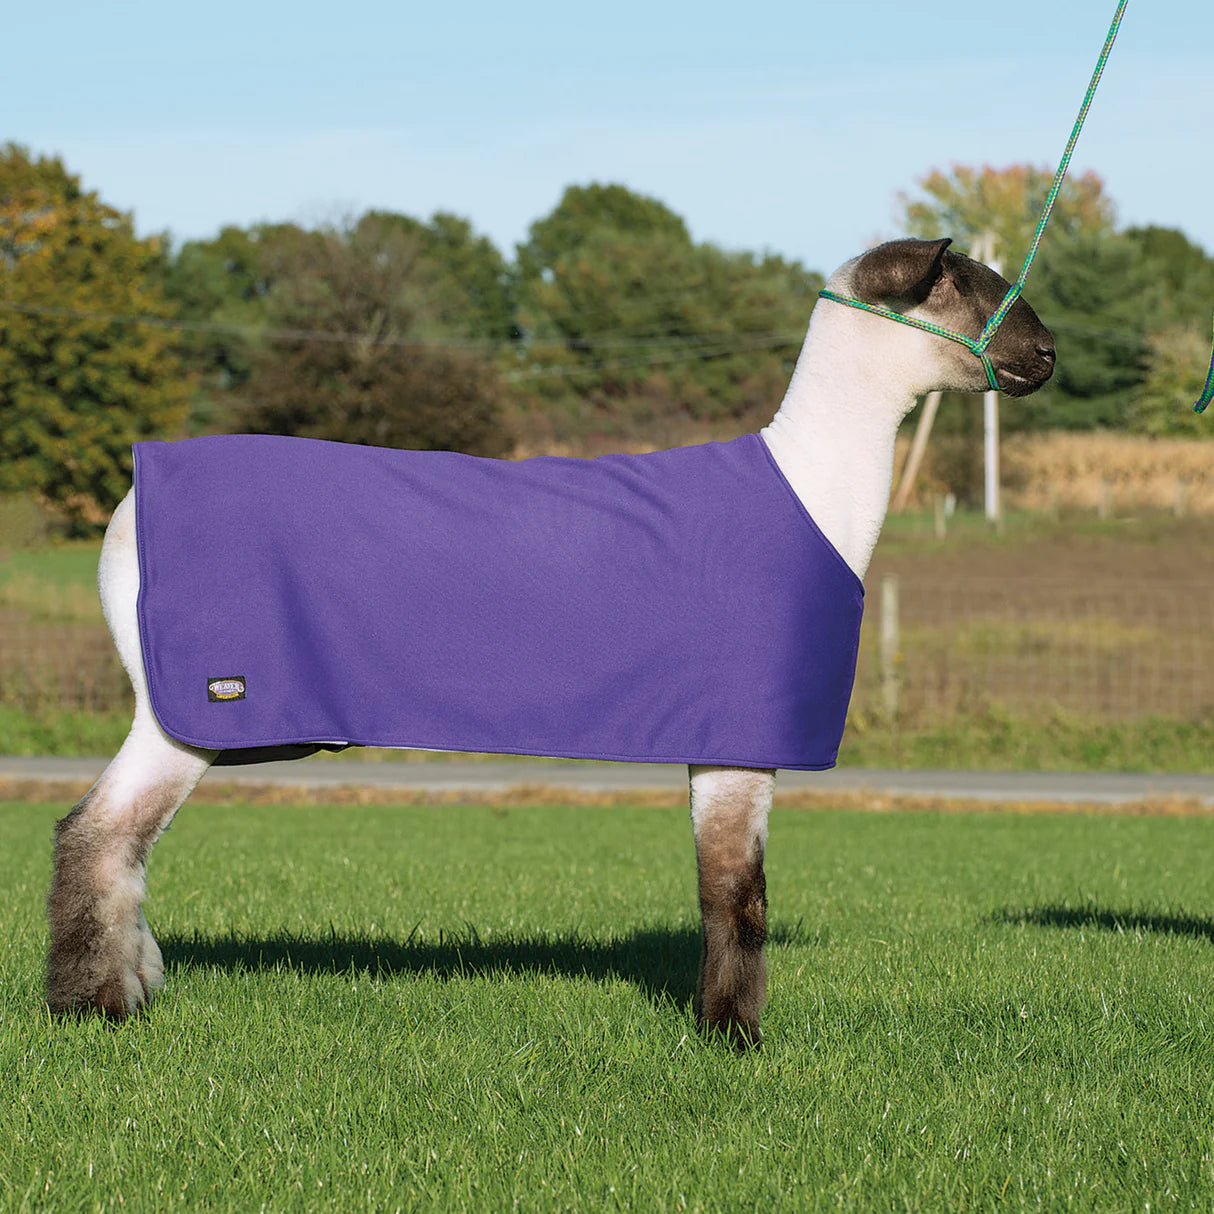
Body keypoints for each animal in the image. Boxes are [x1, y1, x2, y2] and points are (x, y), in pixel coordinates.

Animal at [46, 237, 1056, 1047]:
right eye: (972, 289)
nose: (1048, 356)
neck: (814, 484)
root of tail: (128, 505)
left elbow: (726, 892)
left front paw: (720, 1030)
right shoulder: (740, 730)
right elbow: (739, 895)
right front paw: (735, 1042)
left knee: (115, 842)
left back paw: (127, 992)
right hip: (198, 702)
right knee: (97, 834)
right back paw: (89, 1011)